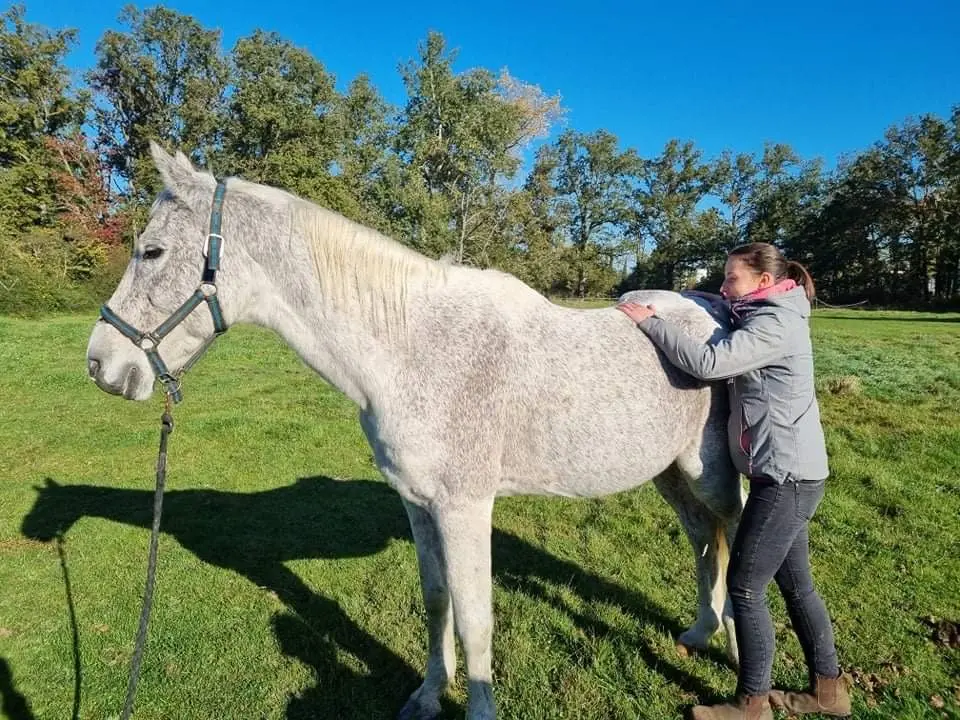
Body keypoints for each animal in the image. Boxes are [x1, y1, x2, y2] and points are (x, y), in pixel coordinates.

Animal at [85, 142, 743, 719]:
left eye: (152, 252)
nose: (100, 364)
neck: (413, 348)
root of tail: (717, 308)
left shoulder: (465, 507)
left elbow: (476, 620)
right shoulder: (418, 502)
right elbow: (436, 600)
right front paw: (428, 695)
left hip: (712, 475)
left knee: (734, 544)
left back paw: (737, 663)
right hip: (667, 474)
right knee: (704, 539)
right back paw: (699, 632)